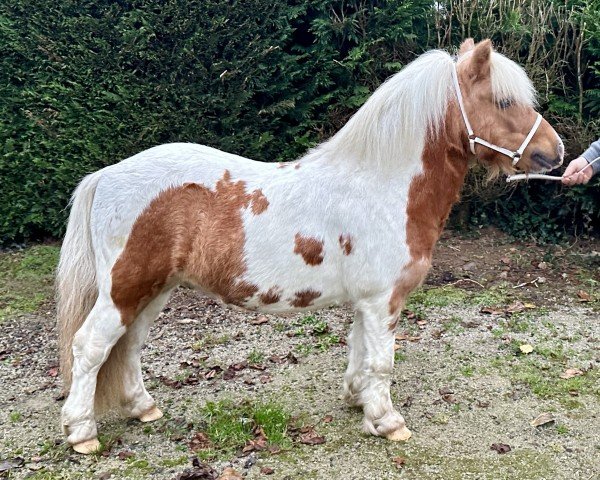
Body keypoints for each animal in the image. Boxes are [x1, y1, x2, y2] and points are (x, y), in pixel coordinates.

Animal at [55, 38, 564, 454]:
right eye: (503, 101)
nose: (555, 152)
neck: (382, 186)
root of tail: (108, 174)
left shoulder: (365, 302)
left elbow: (359, 352)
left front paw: (358, 401)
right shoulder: (383, 300)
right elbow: (382, 361)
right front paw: (387, 421)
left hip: (153, 291)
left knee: (130, 346)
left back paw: (143, 408)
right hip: (125, 289)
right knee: (91, 347)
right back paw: (82, 432)